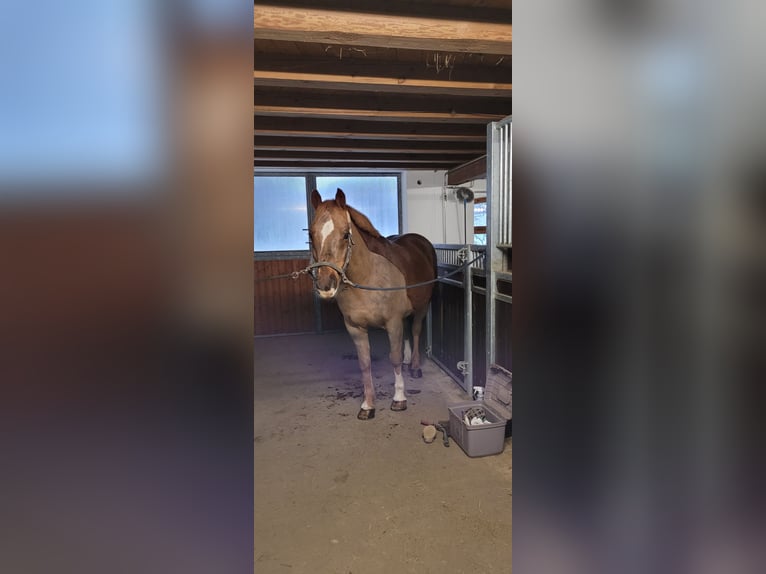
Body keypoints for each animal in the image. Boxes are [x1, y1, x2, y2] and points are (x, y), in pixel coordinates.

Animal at [308, 191, 436, 420]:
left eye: (345, 235)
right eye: (312, 234)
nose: (325, 285)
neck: (369, 275)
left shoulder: (392, 323)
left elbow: (393, 358)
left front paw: (399, 399)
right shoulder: (355, 328)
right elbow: (365, 363)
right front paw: (368, 405)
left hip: (422, 307)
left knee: (415, 331)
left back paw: (414, 366)